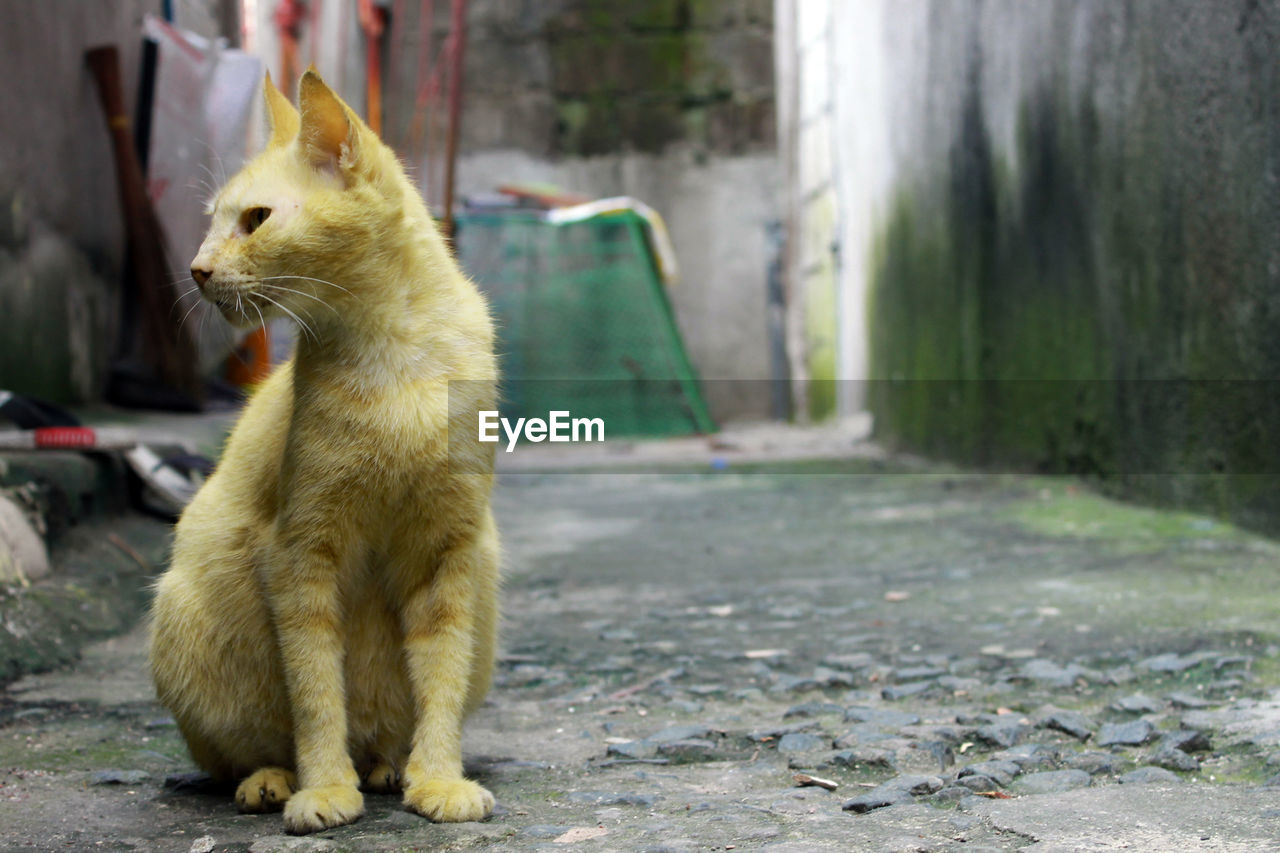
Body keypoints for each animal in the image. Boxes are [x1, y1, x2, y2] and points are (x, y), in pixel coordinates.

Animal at [148, 71, 499, 829]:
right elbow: (314, 690)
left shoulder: (450, 554)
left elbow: (443, 675)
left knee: (388, 726)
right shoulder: (299, 554)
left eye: (254, 219)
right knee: (241, 752)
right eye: (213, 221)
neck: (396, 359)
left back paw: (389, 764)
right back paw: (276, 779)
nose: (196, 269)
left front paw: (438, 775)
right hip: (183, 613)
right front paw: (325, 786)